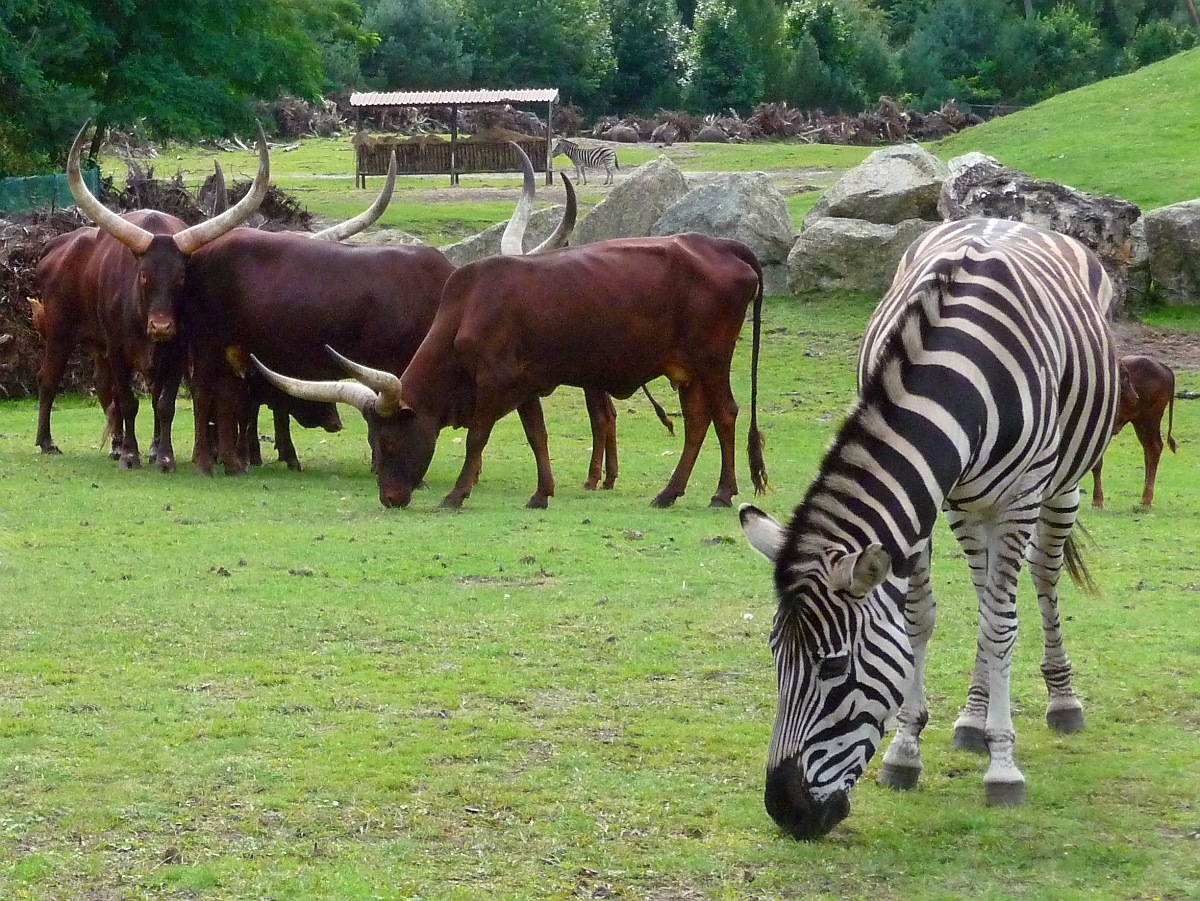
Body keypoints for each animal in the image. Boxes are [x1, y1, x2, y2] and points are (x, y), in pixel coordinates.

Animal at [32, 120, 270, 467]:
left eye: (182, 277)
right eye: (143, 275)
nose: (161, 326)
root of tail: (57, 246)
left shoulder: (177, 351)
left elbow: (164, 403)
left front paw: (164, 455)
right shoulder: (117, 347)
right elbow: (128, 401)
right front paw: (131, 455)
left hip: (98, 348)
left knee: (105, 388)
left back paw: (125, 445)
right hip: (59, 332)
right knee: (50, 379)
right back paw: (47, 441)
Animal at [258, 232, 772, 511]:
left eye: (391, 442)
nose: (390, 497)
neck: (469, 309)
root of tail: (722, 246)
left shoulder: (495, 384)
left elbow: (477, 438)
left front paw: (457, 494)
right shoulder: (526, 386)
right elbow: (536, 436)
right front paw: (542, 492)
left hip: (712, 361)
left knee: (725, 415)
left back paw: (722, 492)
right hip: (685, 370)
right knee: (699, 422)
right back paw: (670, 492)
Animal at [734, 221, 1118, 844]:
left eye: (833, 667)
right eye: (774, 657)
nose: (785, 812)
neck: (953, 376)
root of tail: (1017, 219)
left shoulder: (1020, 499)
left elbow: (1002, 626)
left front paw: (1003, 768)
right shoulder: (924, 503)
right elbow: (920, 618)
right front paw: (906, 749)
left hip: (1060, 485)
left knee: (1039, 577)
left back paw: (1060, 702)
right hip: (968, 504)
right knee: (987, 592)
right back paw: (972, 718)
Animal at [1094, 352, 1176, 508]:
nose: (1135, 397)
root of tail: (1164, 367)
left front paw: (1097, 502)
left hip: (1150, 420)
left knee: (1154, 449)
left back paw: (1146, 500)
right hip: (1139, 424)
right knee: (1148, 451)